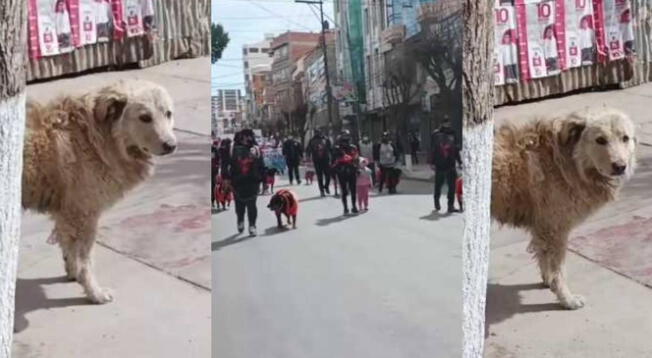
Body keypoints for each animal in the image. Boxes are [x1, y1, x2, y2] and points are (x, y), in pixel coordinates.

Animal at [22, 79, 177, 304]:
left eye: (168, 113)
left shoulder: (66, 212)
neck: (97, 137)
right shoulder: (84, 215)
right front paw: (94, 292)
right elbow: (87, 260)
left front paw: (73, 273)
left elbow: (69, 248)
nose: (171, 145)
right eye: (145, 117)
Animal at [494, 107, 636, 310]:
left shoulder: (542, 227)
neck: (568, 161)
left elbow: (544, 259)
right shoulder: (556, 230)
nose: (620, 167)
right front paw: (566, 299)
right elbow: (559, 269)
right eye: (600, 140)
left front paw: (548, 282)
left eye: (625, 138)